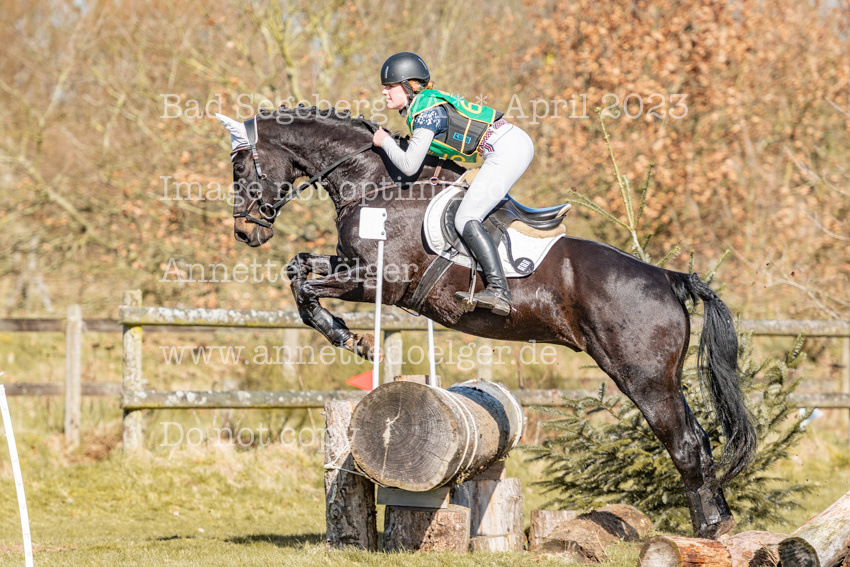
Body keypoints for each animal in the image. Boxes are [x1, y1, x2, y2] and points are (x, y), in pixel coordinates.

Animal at [215, 106, 756, 539]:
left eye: (240, 166)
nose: (244, 231)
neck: (376, 181)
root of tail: (668, 277)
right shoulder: (352, 267)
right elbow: (298, 270)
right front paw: (348, 335)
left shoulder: (379, 280)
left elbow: (307, 289)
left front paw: (349, 338)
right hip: (664, 377)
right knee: (701, 438)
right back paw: (723, 520)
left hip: (642, 375)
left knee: (684, 442)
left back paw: (708, 528)